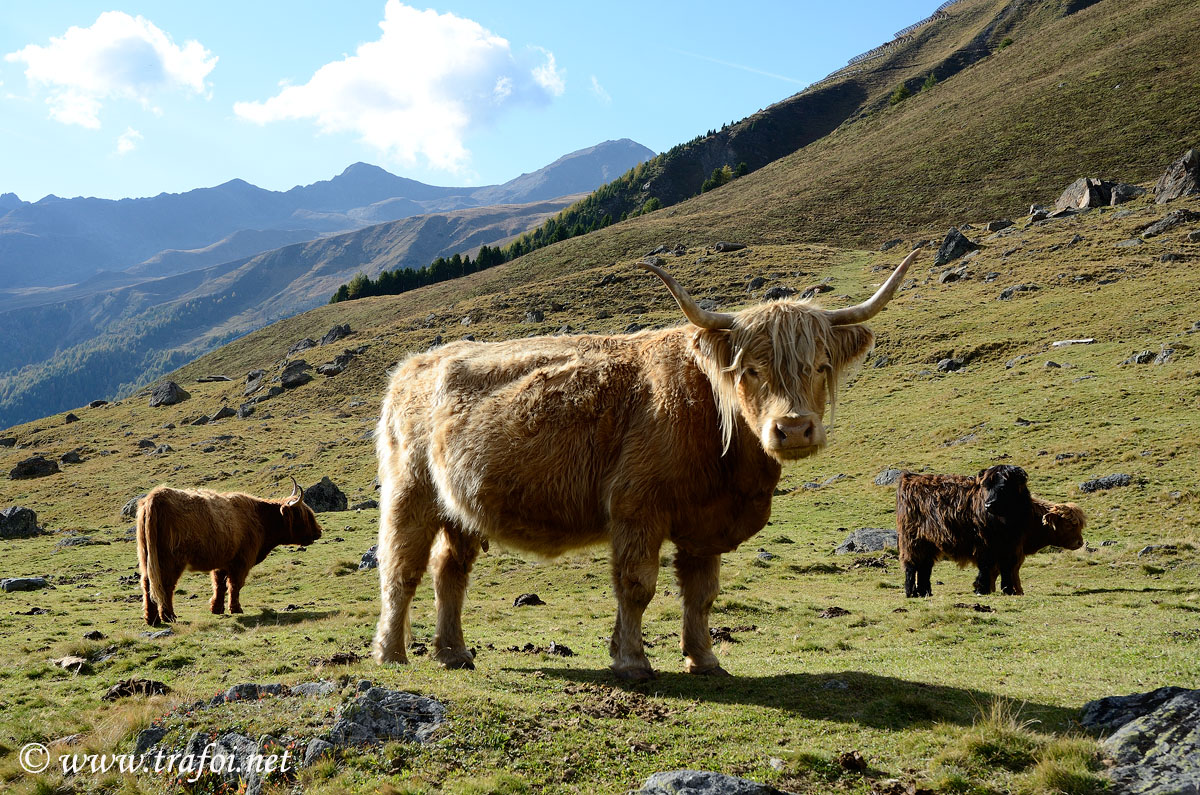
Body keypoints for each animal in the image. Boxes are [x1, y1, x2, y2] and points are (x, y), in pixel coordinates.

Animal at [135, 482, 321, 624]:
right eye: (304, 515)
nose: (319, 531)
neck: (260, 519)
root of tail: (156, 497)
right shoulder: (241, 561)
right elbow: (235, 585)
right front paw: (236, 609)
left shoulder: (223, 561)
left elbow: (220, 585)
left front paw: (216, 608)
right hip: (170, 560)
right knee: (165, 585)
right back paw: (169, 616)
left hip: (147, 558)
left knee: (147, 584)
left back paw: (151, 619)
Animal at [369, 252, 912, 682]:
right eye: (751, 370)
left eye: (820, 366)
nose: (794, 428)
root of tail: (410, 366)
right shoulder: (637, 507)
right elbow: (637, 586)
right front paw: (632, 661)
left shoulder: (704, 524)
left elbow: (702, 593)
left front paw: (704, 660)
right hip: (411, 491)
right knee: (401, 569)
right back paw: (392, 654)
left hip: (459, 506)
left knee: (449, 571)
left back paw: (454, 653)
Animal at [902, 463, 1089, 600]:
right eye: (1070, 525)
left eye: (1004, 487)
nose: (1080, 542)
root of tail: (910, 479)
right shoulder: (987, 545)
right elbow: (990, 568)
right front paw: (983, 589)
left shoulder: (1012, 547)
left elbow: (1008, 569)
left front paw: (1010, 590)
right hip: (912, 541)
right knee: (911, 566)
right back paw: (911, 593)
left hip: (928, 543)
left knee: (925, 567)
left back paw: (925, 592)